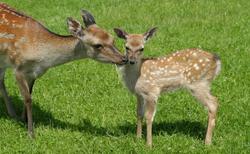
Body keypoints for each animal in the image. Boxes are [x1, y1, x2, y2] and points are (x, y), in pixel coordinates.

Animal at [0, 2, 125, 137]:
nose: (124, 58)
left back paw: (12, 114)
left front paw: (23, 119)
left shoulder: (34, 73)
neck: (42, 57)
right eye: (97, 45)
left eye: (113, 39)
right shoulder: (18, 68)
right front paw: (31, 133)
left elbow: (30, 93)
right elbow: (28, 98)